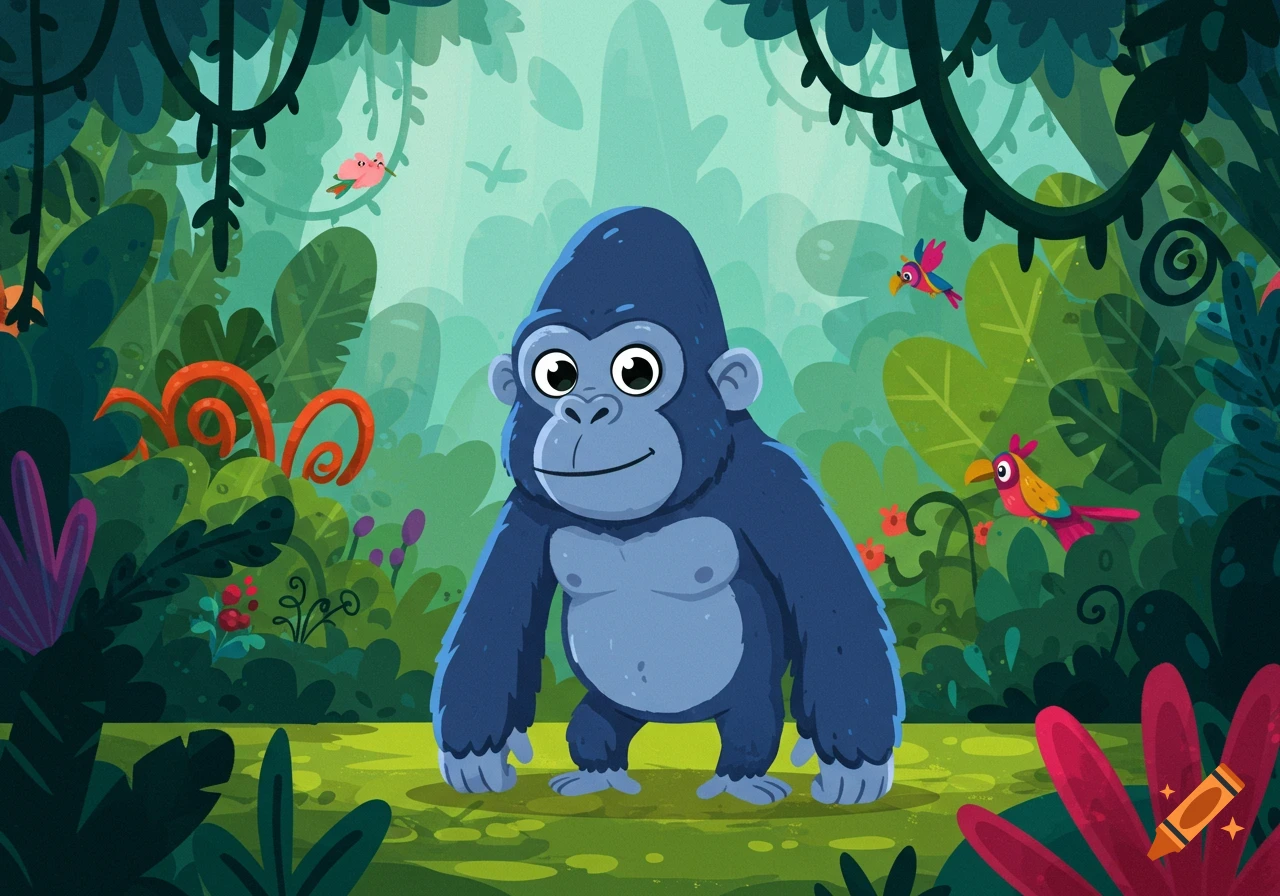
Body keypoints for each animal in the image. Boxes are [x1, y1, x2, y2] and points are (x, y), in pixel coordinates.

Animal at [430, 207, 903, 805]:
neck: (643, 519)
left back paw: (740, 779)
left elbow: (829, 598)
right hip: (611, 705)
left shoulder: (774, 481)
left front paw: (853, 764)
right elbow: (497, 613)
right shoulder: (527, 508)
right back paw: (598, 771)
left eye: (637, 372)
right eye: (557, 374)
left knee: (751, 721)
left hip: (747, 699)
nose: (586, 410)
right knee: (594, 722)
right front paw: (476, 754)